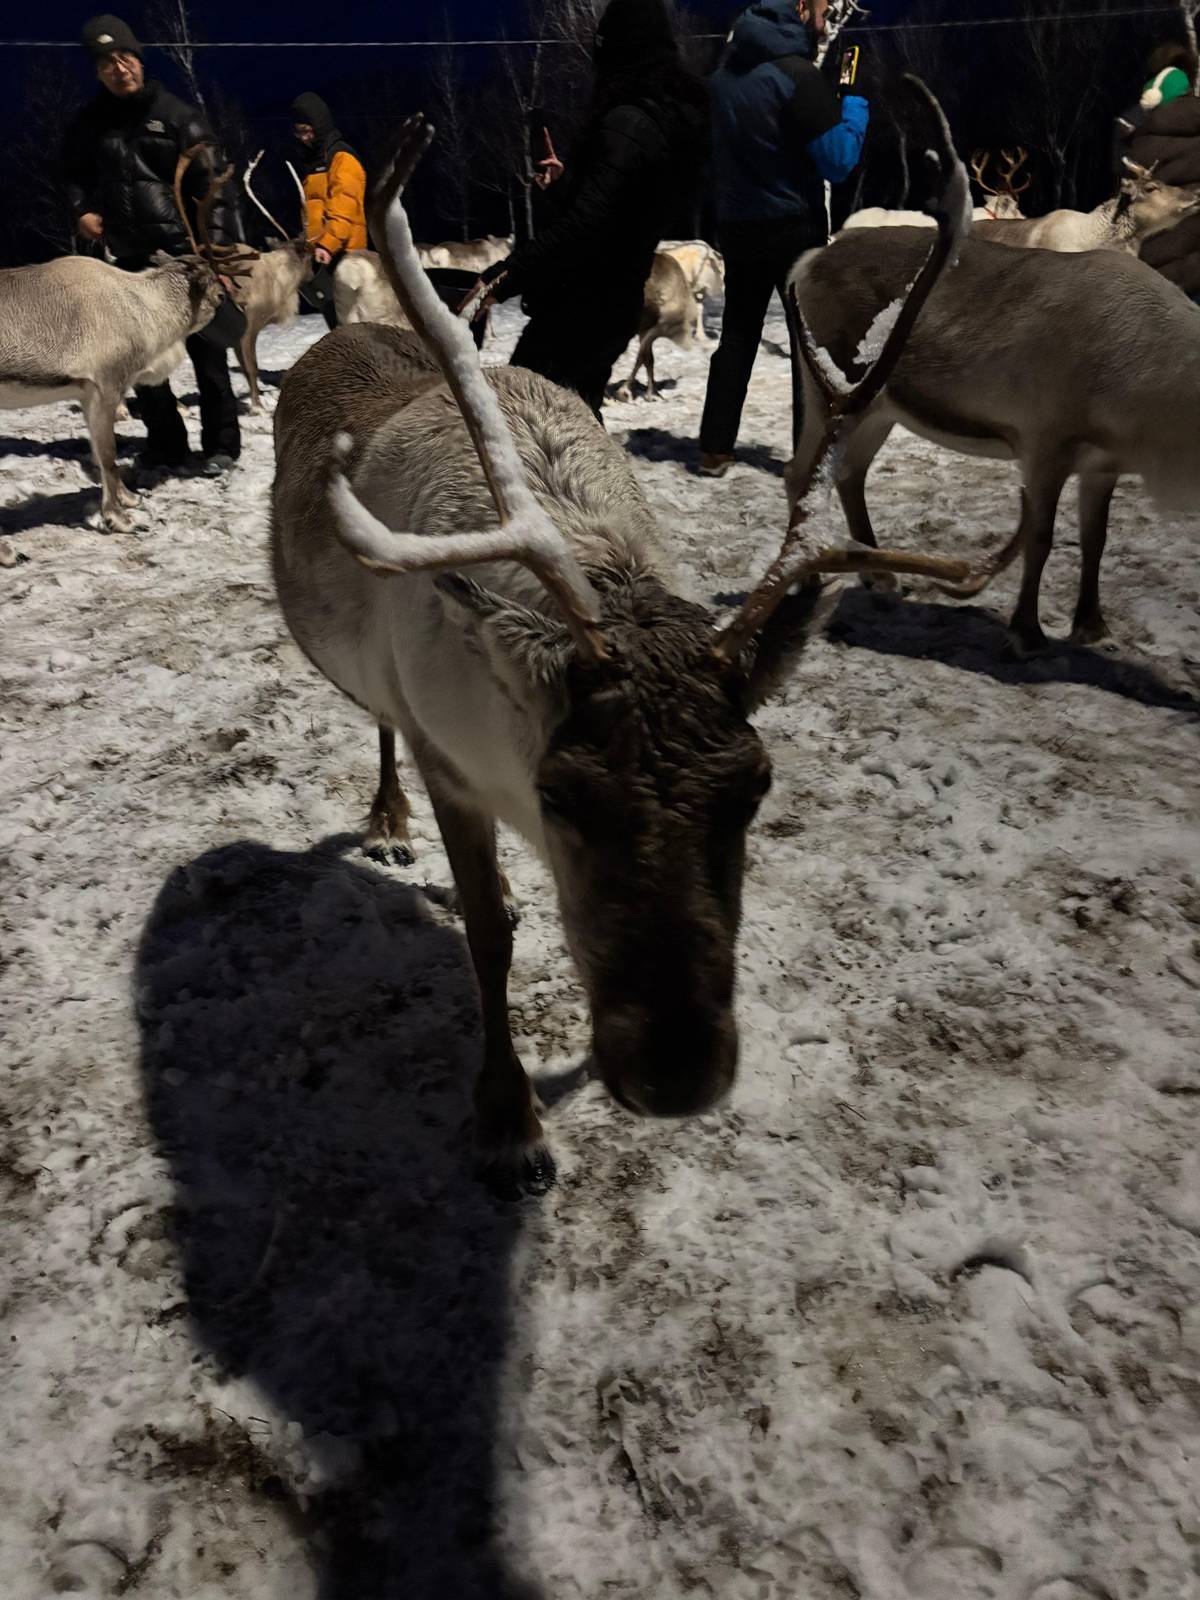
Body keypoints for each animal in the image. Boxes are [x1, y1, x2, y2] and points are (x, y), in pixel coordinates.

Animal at [270, 93, 972, 1198]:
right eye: (565, 793)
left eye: (756, 785)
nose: (676, 1073)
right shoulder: (450, 754)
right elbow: (487, 935)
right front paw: (509, 1121)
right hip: (375, 680)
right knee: (377, 717)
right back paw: (386, 818)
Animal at [786, 216, 1200, 657]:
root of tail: (809, 260)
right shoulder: (1044, 443)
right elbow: (1040, 540)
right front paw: (1026, 633)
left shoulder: (1103, 465)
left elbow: (1096, 541)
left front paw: (1093, 627)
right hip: (830, 393)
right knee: (798, 473)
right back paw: (809, 579)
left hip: (881, 410)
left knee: (849, 474)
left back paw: (878, 576)